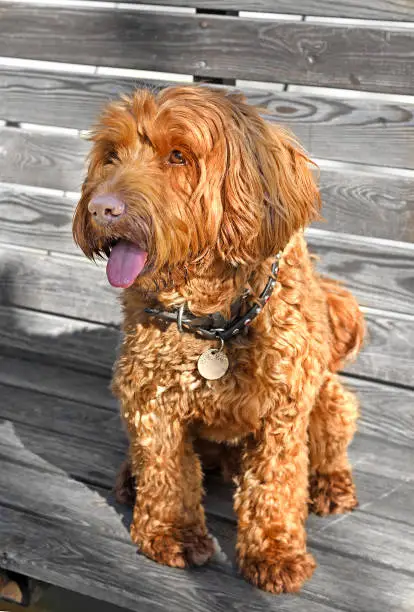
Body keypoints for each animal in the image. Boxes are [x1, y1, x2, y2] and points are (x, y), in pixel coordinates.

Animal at [73, 86, 364, 592]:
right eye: (111, 154)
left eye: (178, 155)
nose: (100, 208)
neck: (211, 320)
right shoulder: (148, 397)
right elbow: (167, 471)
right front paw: (171, 534)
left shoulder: (284, 407)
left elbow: (276, 482)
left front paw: (275, 552)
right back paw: (131, 479)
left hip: (328, 397)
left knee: (330, 443)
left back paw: (330, 484)